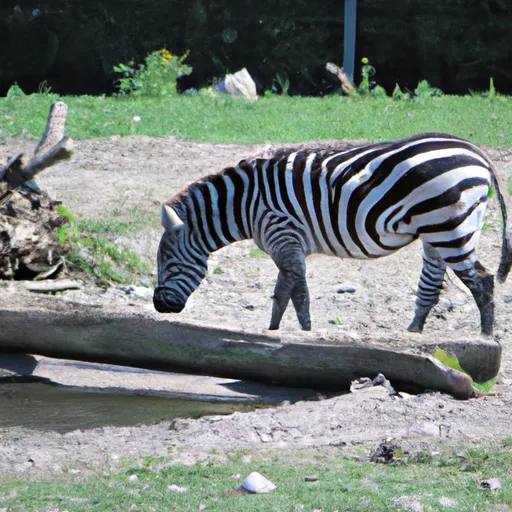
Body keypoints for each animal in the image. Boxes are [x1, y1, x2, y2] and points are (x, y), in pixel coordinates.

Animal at [153, 133, 512, 336]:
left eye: (168, 265)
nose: (158, 306)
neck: (245, 204)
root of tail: (476, 152)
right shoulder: (287, 244)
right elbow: (285, 291)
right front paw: (274, 330)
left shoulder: (282, 233)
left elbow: (296, 292)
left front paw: (303, 331)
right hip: (435, 230)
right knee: (433, 281)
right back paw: (414, 332)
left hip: (450, 227)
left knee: (482, 280)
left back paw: (484, 338)